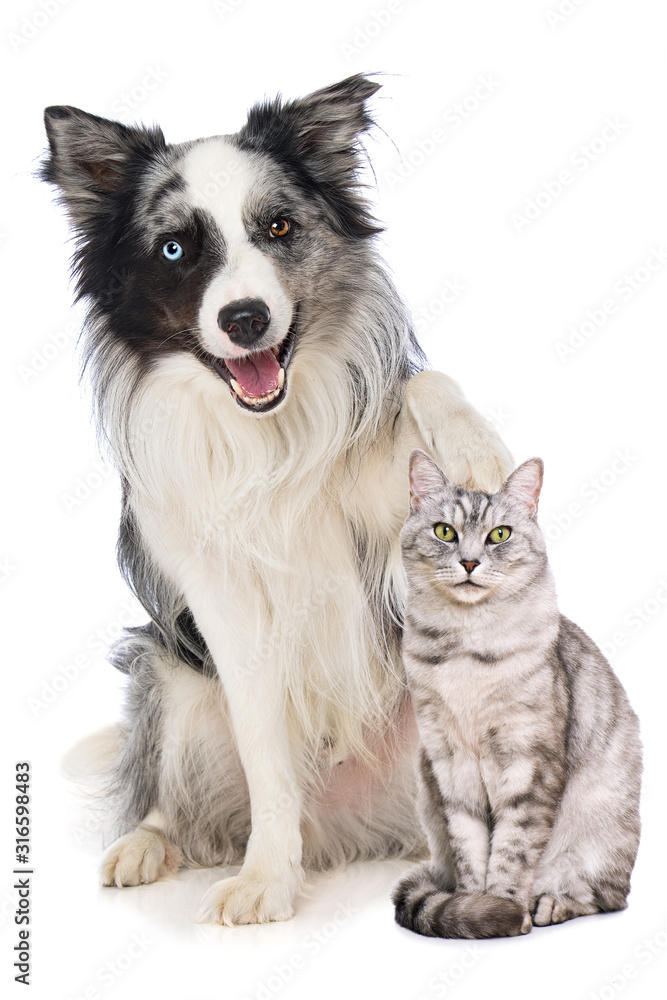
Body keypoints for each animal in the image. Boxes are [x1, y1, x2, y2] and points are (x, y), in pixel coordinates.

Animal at [43, 74, 512, 924]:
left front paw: (471, 444)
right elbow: (265, 755)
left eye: (278, 226)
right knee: (170, 797)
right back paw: (145, 846)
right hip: (166, 671)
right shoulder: (222, 604)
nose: (245, 319)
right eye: (174, 249)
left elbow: (423, 387)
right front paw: (266, 878)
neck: (269, 434)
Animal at [394, 454, 644, 936]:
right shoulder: (450, 763)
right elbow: (471, 849)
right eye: (445, 532)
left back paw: (549, 904)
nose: (470, 562)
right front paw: (475, 906)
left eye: (499, 535)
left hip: (601, 831)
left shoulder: (528, 761)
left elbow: (513, 848)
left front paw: (506, 907)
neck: (467, 648)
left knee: (606, 895)